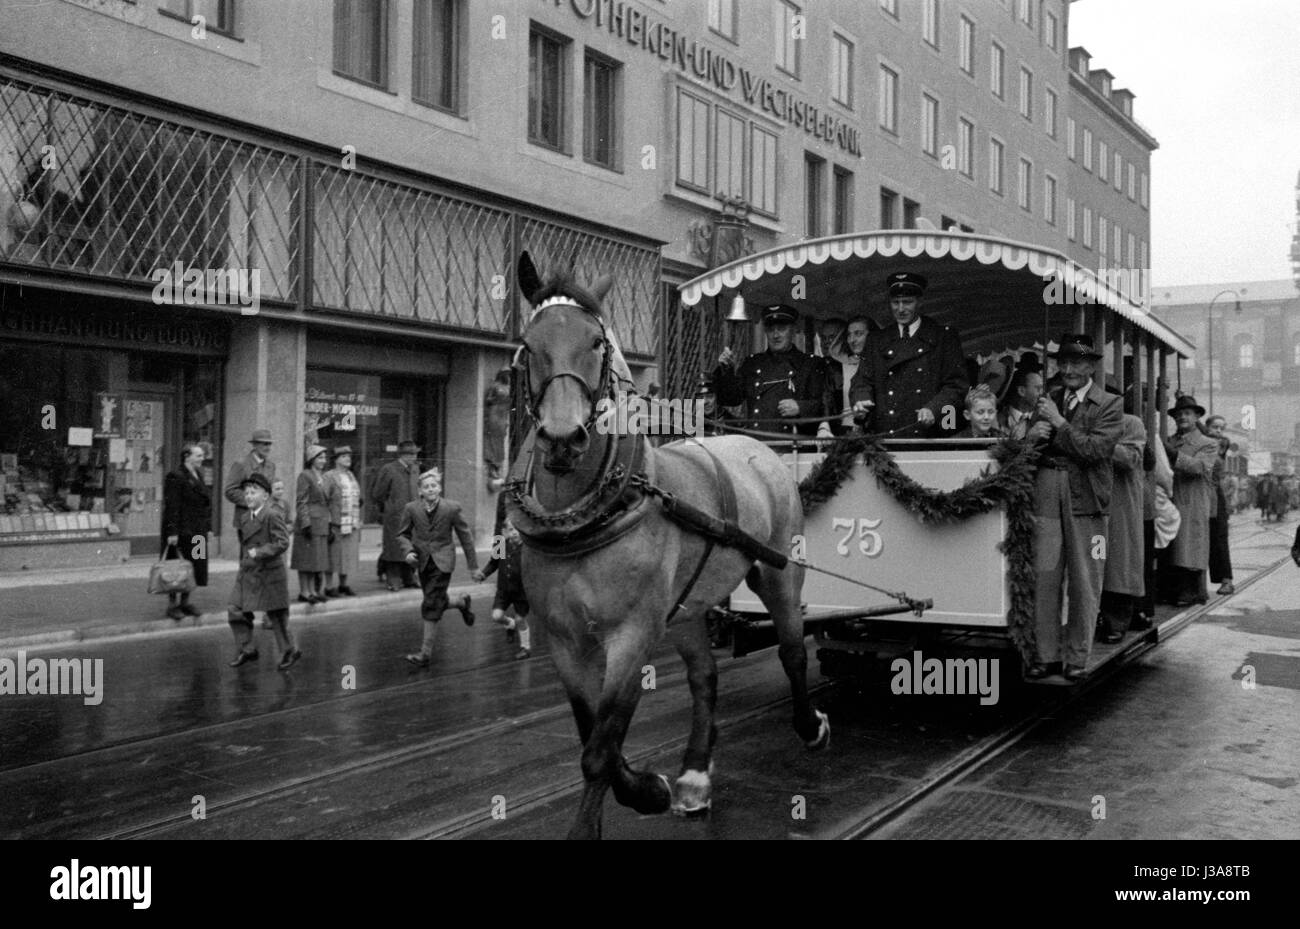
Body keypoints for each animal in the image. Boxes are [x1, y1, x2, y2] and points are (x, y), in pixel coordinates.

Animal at [501, 250, 826, 841]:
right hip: (688, 608)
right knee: (703, 677)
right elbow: (592, 732)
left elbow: (601, 748)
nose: (561, 440)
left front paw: (624, 803)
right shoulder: (564, 639)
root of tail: (756, 444)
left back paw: (809, 725)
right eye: (528, 344)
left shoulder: (632, 635)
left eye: (596, 342)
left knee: (792, 648)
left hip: (779, 573)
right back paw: (695, 773)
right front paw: (649, 788)